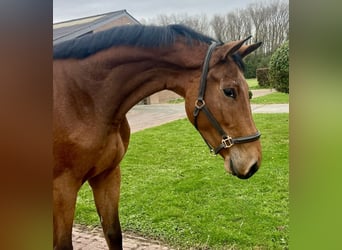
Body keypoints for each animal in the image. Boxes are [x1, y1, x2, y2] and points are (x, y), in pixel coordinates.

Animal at [52, 23, 262, 250]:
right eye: (229, 91)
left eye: (249, 93)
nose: (253, 164)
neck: (85, 98)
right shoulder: (62, 189)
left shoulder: (107, 175)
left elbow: (113, 233)